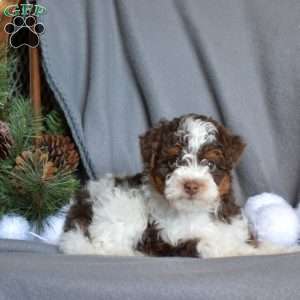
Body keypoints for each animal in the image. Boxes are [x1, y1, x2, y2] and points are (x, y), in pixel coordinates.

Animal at [59, 113, 292, 256]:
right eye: (172, 163)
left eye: (210, 163)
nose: (191, 185)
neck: (194, 212)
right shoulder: (169, 239)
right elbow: (216, 245)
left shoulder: (232, 227)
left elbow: (251, 242)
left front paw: (283, 249)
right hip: (120, 209)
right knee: (105, 245)